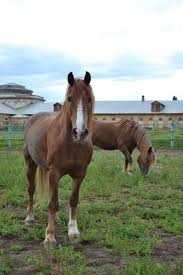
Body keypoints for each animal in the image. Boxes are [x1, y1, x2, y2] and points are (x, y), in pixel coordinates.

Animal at [24, 72, 94, 247]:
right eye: (69, 98)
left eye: (89, 98)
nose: (80, 132)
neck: (71, 143)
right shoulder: (54, 174)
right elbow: (53, 203)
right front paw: (49, 236)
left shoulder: (80, 175)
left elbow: (73, 200)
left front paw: (73, 231)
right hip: (30, 163)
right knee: (31, 189)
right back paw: (29, 218)